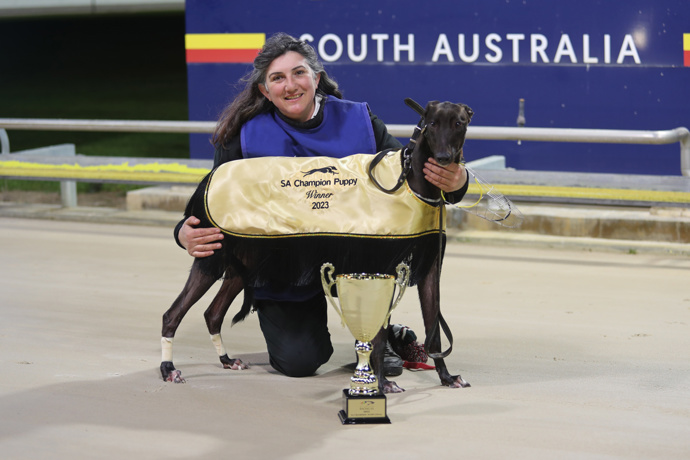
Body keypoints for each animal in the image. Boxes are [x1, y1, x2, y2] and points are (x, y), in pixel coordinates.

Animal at [161, 99, 472, 394]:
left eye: (458, 123)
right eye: (431, 123)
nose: (444, 159)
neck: (410, 182)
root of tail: (208, 178)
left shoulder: (429, 271)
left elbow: (434, 332)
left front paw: (446, 377)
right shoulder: (379, 270)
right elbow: (379, 335)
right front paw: (382, 384)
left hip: (242, 264)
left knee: (212, 314)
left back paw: (226, 360)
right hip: (210, 255)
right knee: (172, 314)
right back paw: (169, 370)